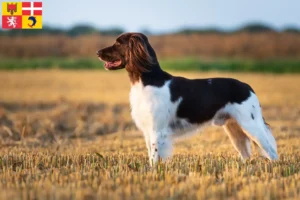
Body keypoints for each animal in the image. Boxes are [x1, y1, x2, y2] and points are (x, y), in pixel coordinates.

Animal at [97, 32, 278, 165]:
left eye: (118, 43)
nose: (97, 52)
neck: (148, 81)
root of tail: (248, 87)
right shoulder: (148, 130)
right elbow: (151, 155)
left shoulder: (157, 130)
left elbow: (154, 158)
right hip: (235, 128)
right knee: (246, 154)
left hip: (251, 125)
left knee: (271, 150)